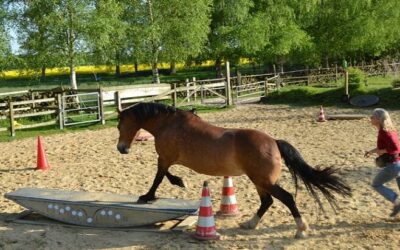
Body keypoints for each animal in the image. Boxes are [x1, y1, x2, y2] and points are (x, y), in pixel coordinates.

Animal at [117, 101, 352, 236]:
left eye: (120, 125)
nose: (122, 149)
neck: (169, 124)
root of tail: (274, 142)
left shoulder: (165, 158)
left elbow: (159, 177)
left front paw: (149, 196)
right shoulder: (167, 159)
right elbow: (163, 175)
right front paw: (173, 185)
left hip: (263, 181)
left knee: (286, 198)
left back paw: (301, 230)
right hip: (259, 181)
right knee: (267, 202)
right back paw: (249, 224)